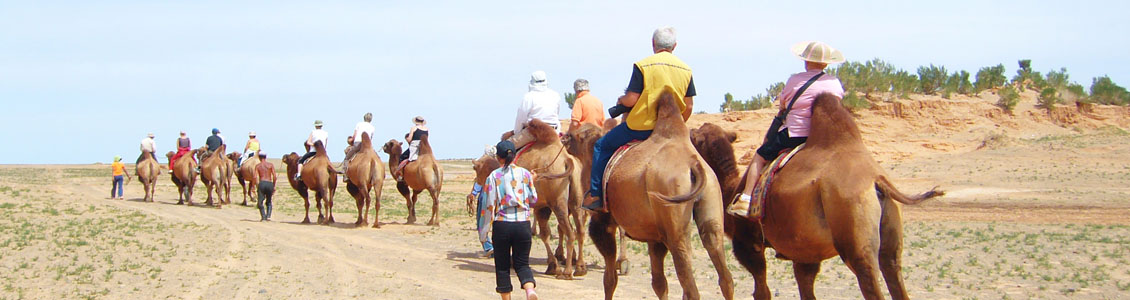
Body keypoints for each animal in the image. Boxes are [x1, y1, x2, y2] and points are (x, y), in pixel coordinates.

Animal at [583, 92, 732, 298]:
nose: (564, 139)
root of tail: (693, 164)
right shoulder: (655, 235)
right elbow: (659, 283)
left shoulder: (603, 222)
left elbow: (609, 280)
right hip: (711, 203)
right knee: (724, 274)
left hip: (675, 223)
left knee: (689, 283)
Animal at [687, 93, 944, 298]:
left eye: (696, 136)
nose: (690, 127)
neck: (731, 188)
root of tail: (876, 180)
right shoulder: (804, 248)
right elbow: (806, 287)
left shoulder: (748, 243)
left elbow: (762, 291)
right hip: (891, 229)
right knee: (893, 269)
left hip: (853, 230)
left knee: (869, 277)